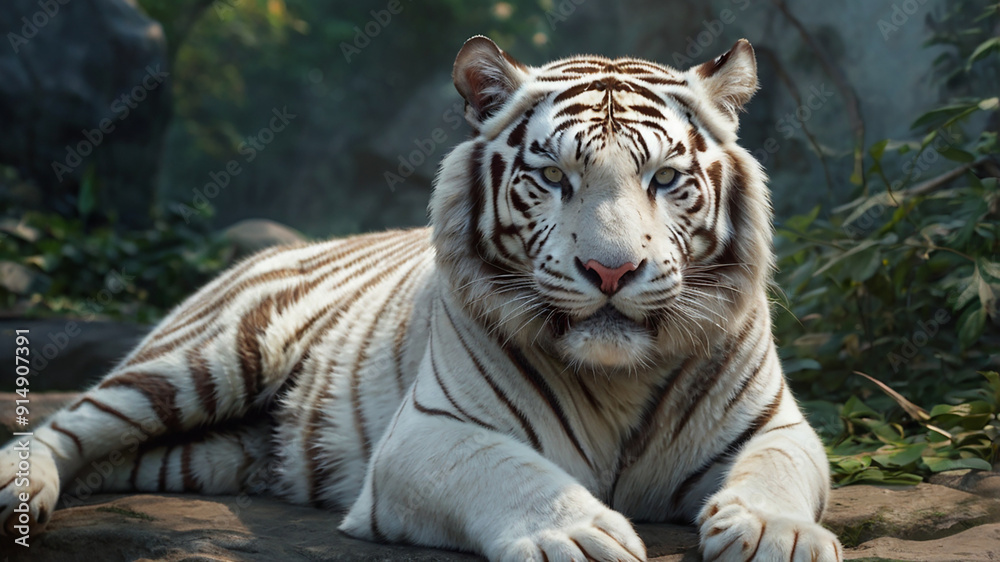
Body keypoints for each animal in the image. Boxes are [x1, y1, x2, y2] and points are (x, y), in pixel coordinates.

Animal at [0, 36, 842, 561]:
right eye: (554, 177)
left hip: (204, 454)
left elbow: (777, 469)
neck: (619, 377)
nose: (610, 271)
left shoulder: (774, 425)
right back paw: (20, 488)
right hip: (204, 361)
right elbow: (509, 470)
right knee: (71, 423)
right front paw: (576, 535)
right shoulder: (433, 433)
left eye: (665, 178)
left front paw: (776, 533)